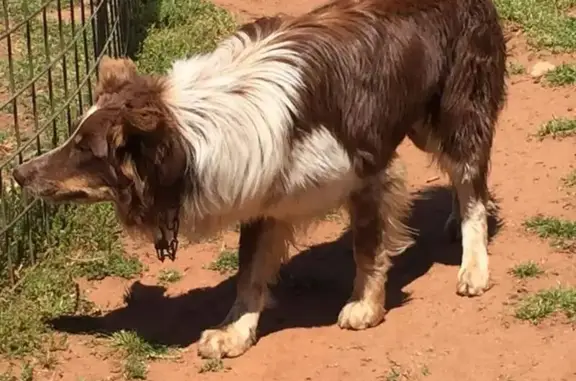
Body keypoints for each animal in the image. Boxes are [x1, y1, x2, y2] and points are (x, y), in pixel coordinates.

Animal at [11, 0, 506, 360]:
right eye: (72, 139)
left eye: (84, 150)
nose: (16, 173)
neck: (198, 132)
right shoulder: (264, 193)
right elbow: (248, 274)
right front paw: (235, 332)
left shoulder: (371, 172)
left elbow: (367, 248)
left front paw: (366, 306)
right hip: (422, 120)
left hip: (456, 111)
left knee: (471, 181)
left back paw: (473, 264)